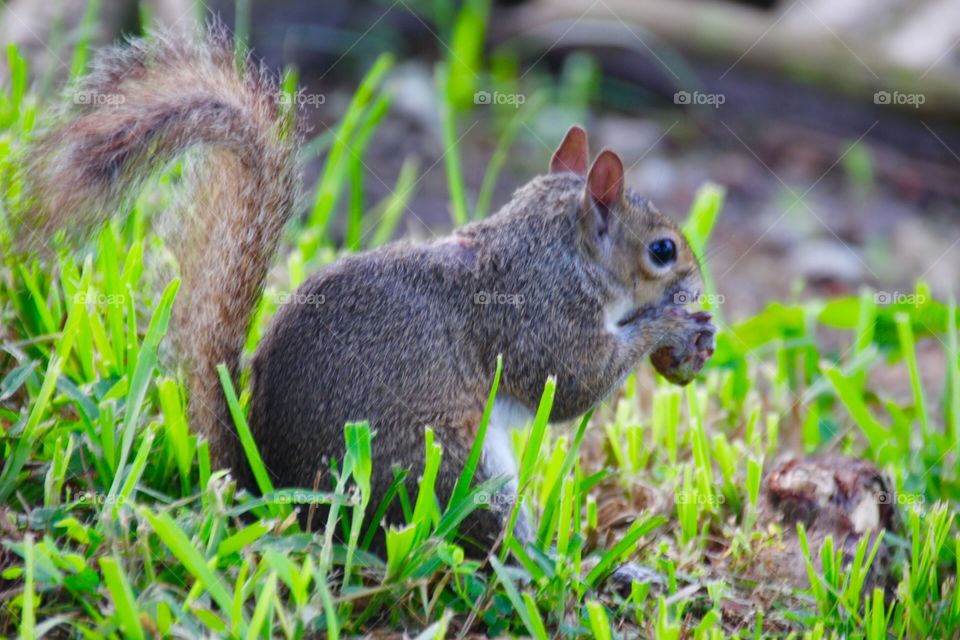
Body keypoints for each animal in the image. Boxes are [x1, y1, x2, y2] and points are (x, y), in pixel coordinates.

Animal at [21, 27, 716, 549]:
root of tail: (271, 494)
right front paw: (670, 326)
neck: (552, 250)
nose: (697, 285)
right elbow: (573, 381)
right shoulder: (539, 320)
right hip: (447, 468)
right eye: (662, 251)